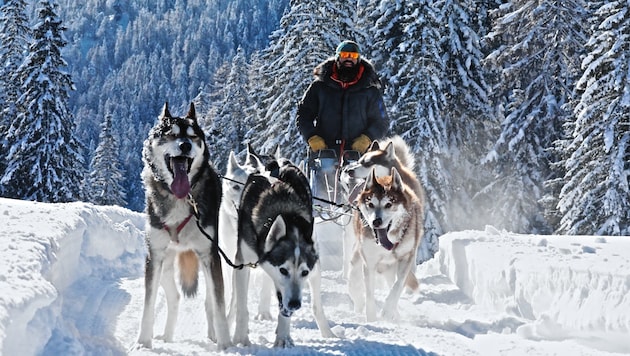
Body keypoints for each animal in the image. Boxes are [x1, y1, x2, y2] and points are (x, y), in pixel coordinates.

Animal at [136, 101, 232, 350]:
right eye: (171, 134)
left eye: (193, 136)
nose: (185, 145)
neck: (180, 196)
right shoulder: (154, 256)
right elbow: (148, 305)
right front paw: (143, 342)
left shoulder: (210, 254)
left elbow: (218, 305)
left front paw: (225, 344)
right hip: (165, 265)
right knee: (175, 298)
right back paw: (168, 335)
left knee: (209, 301)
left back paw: (213, 335)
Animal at [233, 162, 336, 348]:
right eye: (283, 270)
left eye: (304, 272)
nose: (295, 304)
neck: (286, 215)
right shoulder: (242, 264)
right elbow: (242, 307)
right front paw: (240, 340)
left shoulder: (313, 270)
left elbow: (288, 311)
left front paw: (282, 338)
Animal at [350, 168, 424, 322]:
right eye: (371, 204)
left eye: (389, 204)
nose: (376, 221)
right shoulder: (369, 262)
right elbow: (369, 292)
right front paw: (371, 317)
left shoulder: (406, 258)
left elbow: (398, 286)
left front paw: (388, 310)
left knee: (392, 284)